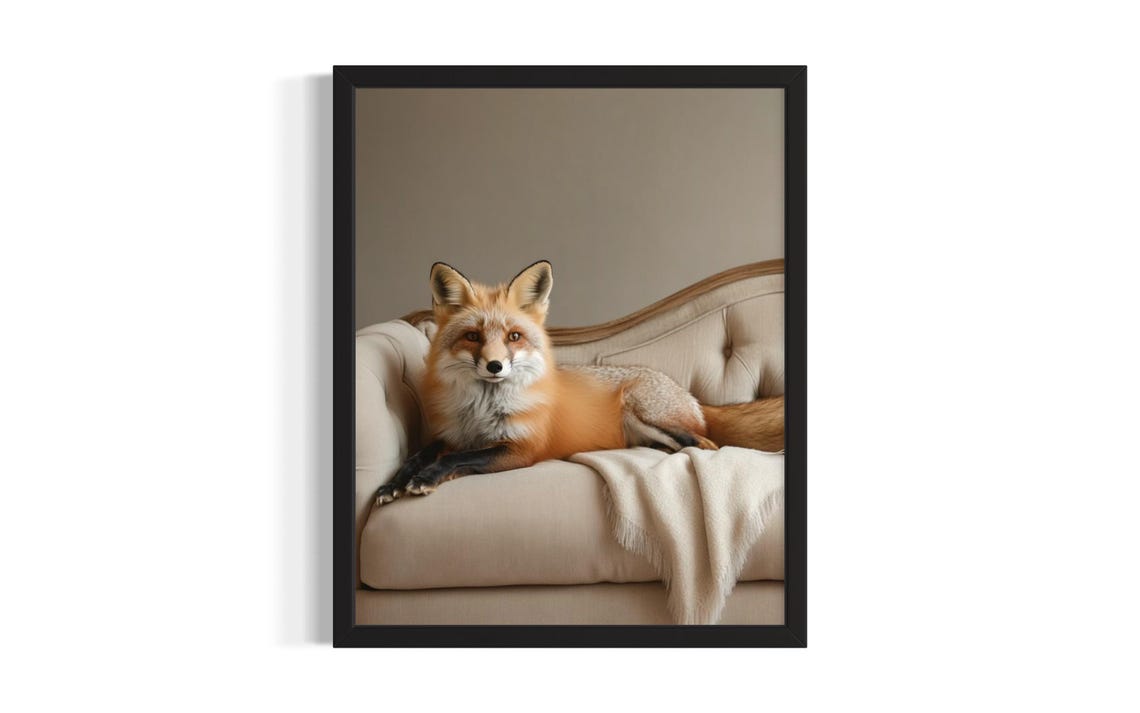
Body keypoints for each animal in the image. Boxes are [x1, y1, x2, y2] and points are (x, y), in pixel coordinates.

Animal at [374, 260, 784, 506]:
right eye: (473, 337)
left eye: (514, 337)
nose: (494, 366)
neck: (482, 411)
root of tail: (690, 395)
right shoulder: (453, 434)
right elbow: (419, 454)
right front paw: (393, 482)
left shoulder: (521, 450)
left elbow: (458, 459)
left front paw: (425, 478)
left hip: (645, 409)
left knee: (707, 445)